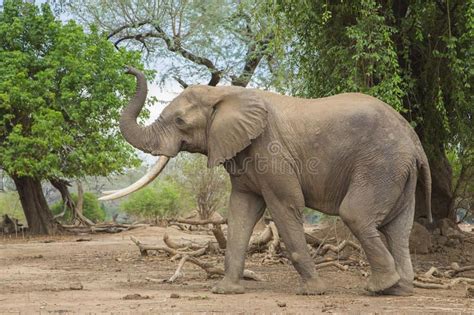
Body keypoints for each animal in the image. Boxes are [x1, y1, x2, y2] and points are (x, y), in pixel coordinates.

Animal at [101, 66, 434, 296]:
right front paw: (225, 291)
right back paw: (399, 289)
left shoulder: (270, 150)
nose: (127, 69)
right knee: (398, 227)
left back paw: (380, 287)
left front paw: (312, 292)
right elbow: (241, 211)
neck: (225, 94)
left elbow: (285, 206)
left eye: (180, 121)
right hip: (398, 170)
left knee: (356, 214)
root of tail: (415, 141)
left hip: (381, 164)